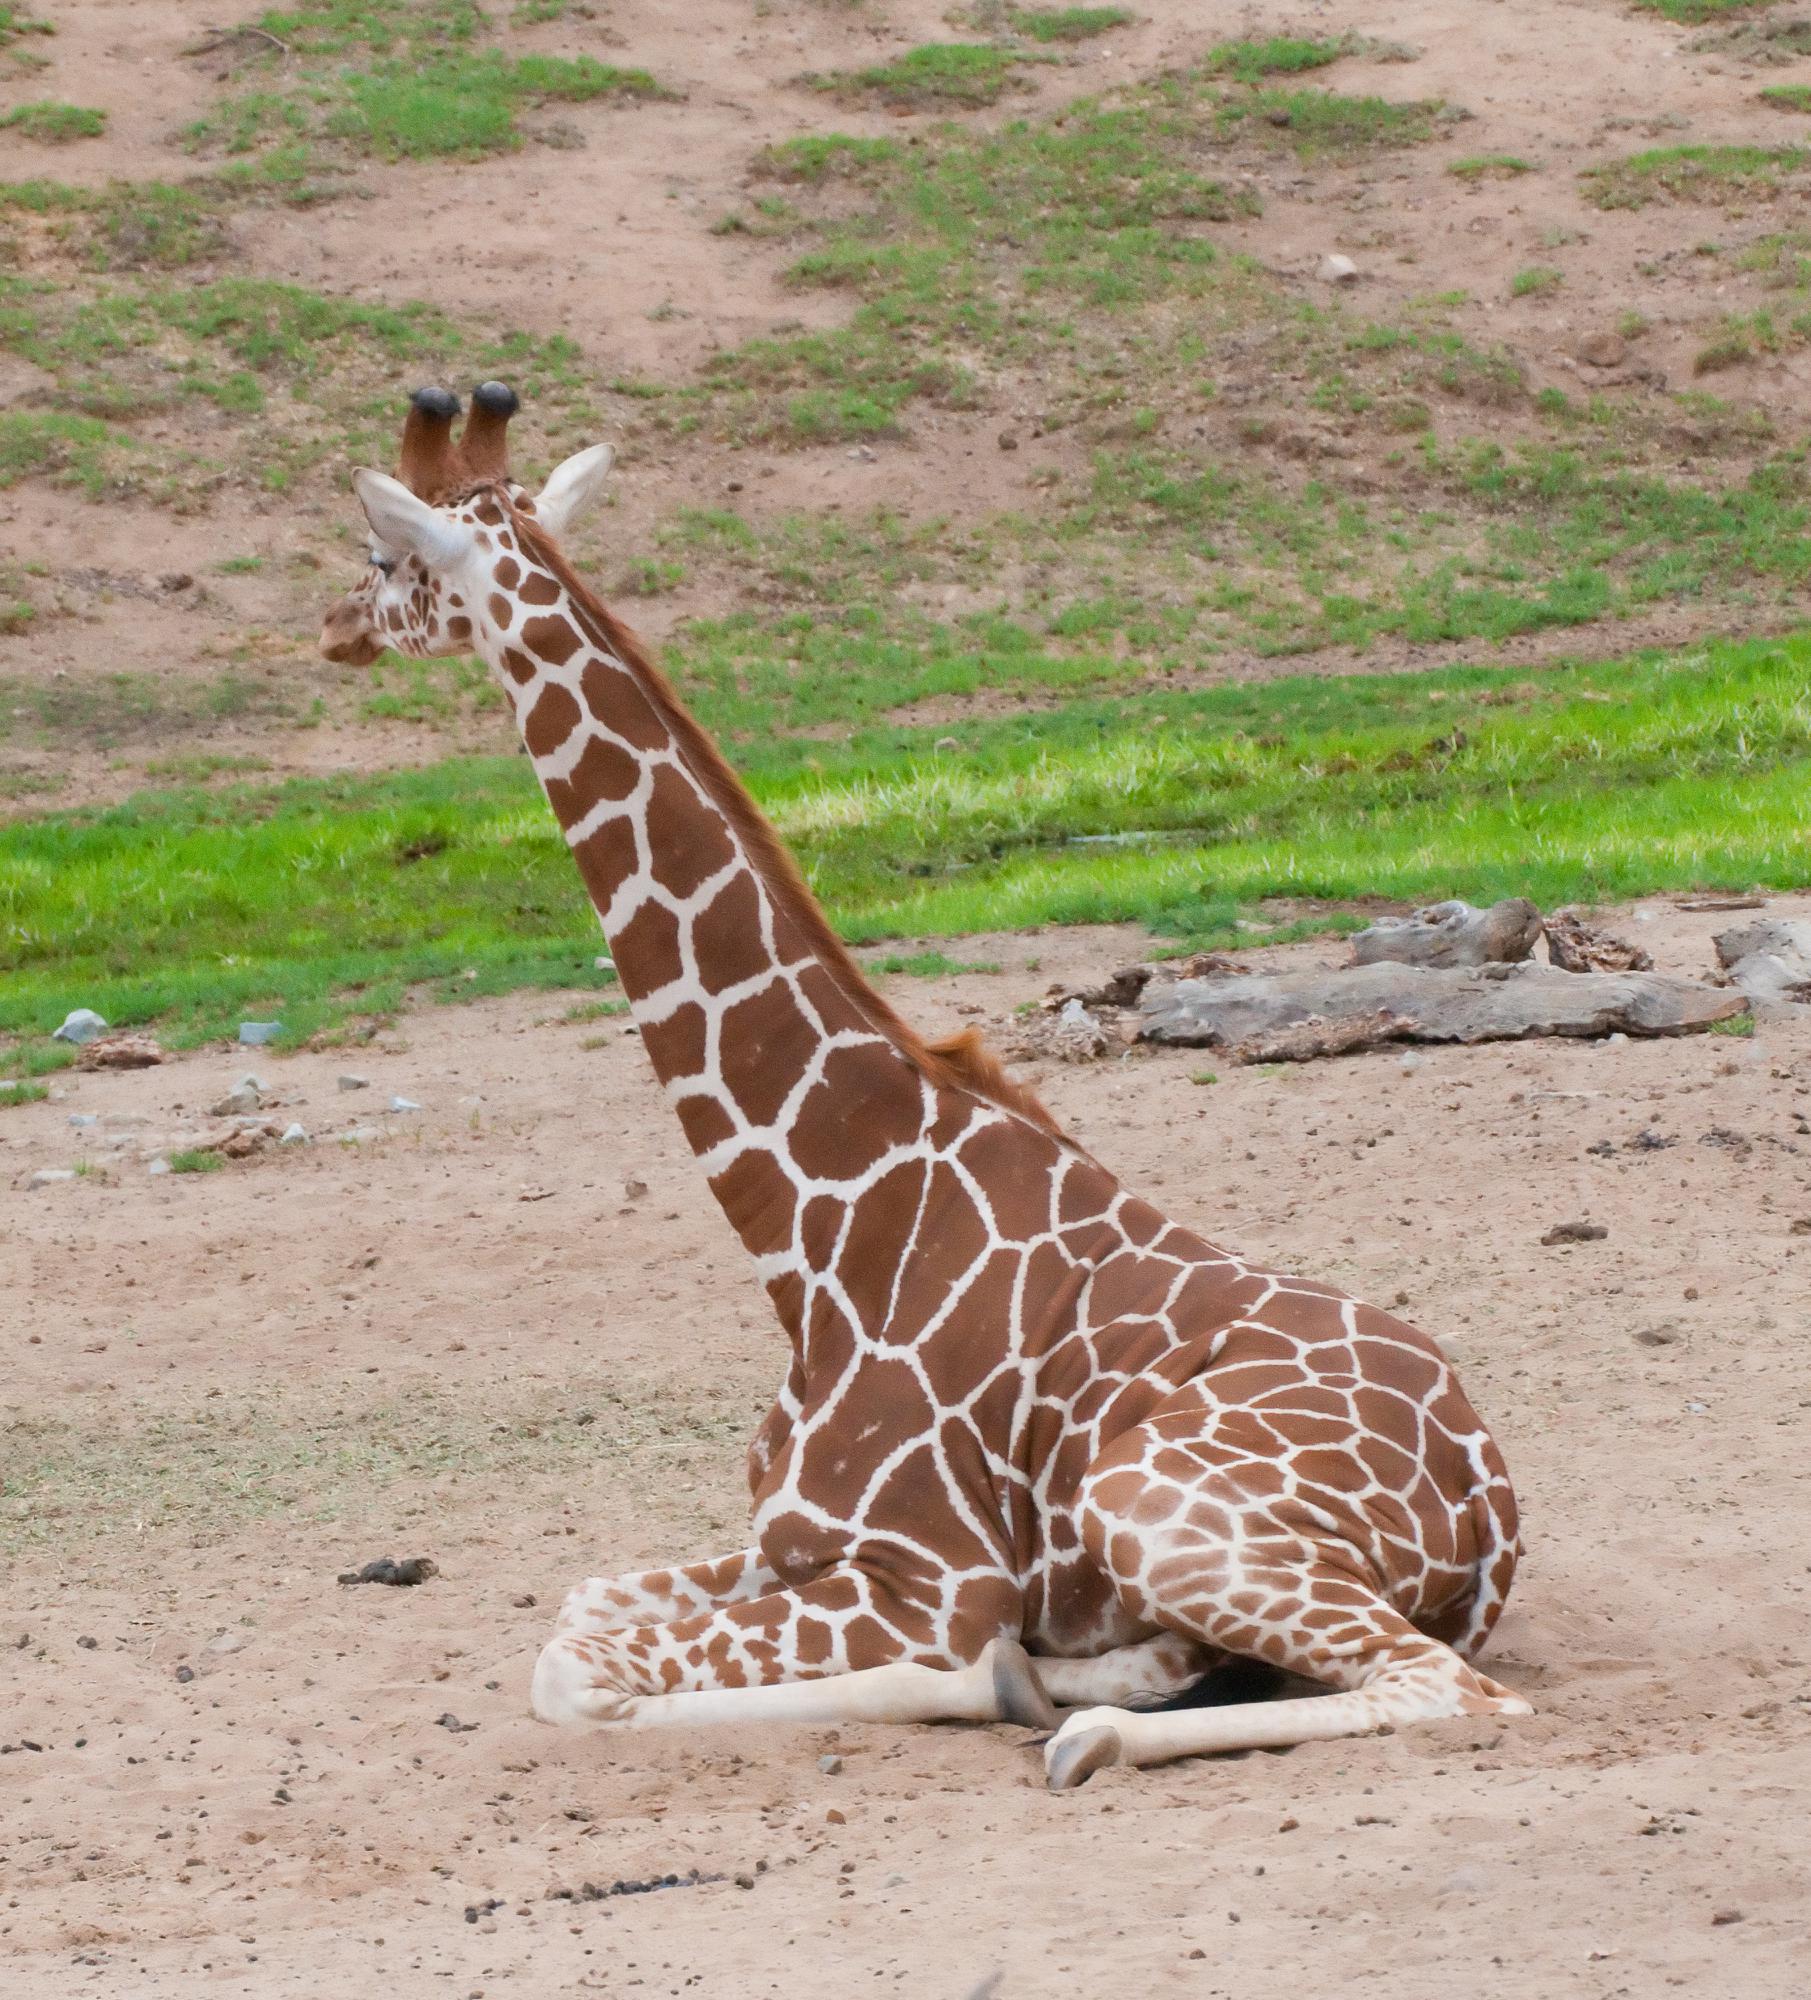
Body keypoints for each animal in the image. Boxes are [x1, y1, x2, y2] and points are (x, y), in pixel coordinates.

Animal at [313, 382, 1527, 1792]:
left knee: (1447, 1688)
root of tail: (1488, 1512)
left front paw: (996, 1677)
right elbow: (579, 1601)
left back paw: (1079, 1724)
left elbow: (574, 1669)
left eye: (383, 558)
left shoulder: (926, 1578)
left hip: (1153, 1505)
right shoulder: (782, 1539)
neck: (814, 1220)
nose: (332, 629)